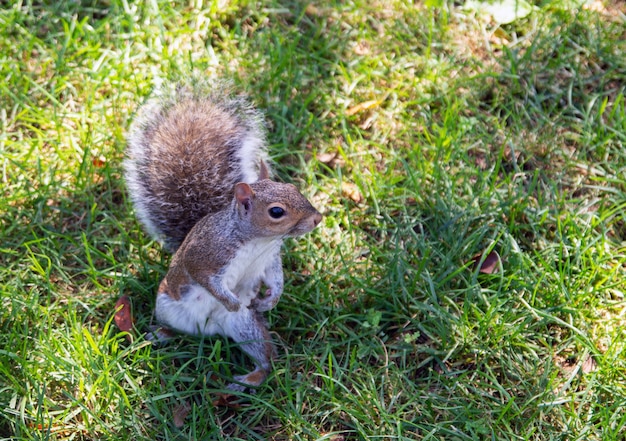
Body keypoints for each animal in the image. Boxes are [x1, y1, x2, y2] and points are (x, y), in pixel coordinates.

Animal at [122, 79, 322, 388]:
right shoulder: (205, 255)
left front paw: (269, 300)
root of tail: (207, 331)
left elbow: (275, 278)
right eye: (276, 211)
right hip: (168, 307)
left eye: (293, 188)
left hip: (244, 327)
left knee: (265, 358)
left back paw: (248, 379)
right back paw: (161, 335)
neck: (257, 242)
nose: (317, 218)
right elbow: (204, 276)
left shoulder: (269, 258)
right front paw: (232, 301)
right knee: (174, 329)